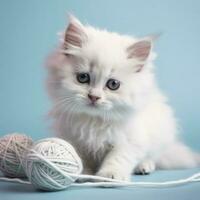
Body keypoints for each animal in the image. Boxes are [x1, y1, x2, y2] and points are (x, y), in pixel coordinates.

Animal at [45, 16, 200, 181]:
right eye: (83, 78)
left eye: (113, 84)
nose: (94, 97)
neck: (94, 121)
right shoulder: (73, 139)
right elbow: (80, 158)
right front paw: (82, 174)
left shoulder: (130, 140)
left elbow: (118, 158)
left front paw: (109, 176)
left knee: (153, 157)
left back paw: (144, 166)